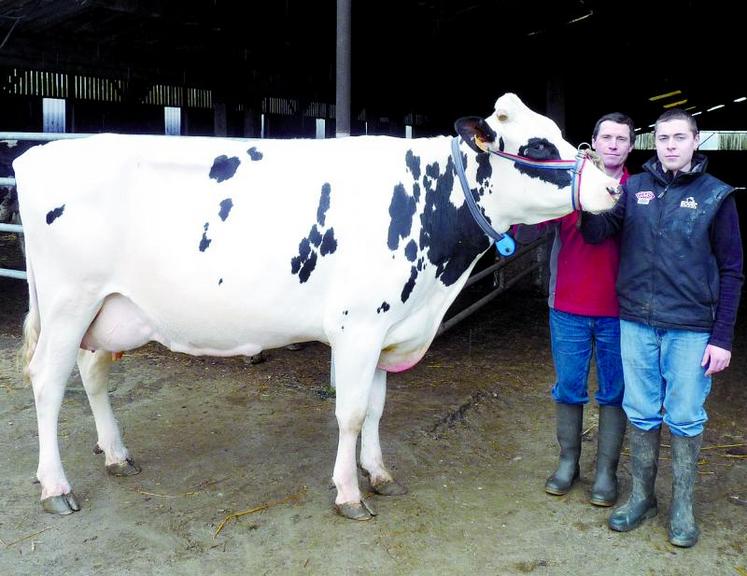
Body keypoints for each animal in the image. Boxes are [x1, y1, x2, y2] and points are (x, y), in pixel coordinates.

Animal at [16, 92, 620, 520]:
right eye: (539, 146)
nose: (613, 188)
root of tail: (40, 151)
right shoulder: (358, 325)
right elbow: (349, 412)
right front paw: (349, 493)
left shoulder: (387, 328)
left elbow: (375, 408)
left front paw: (379, 473)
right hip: (70, 303)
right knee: (46, 381)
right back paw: (55, 487)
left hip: (108, 309)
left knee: (91, 372)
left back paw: (116, 454)